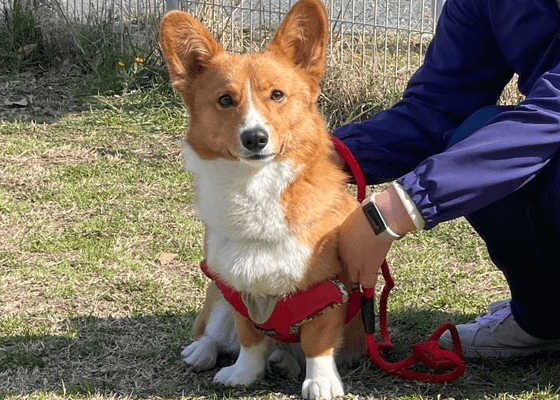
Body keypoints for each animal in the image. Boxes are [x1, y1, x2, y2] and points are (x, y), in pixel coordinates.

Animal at [159, 0, 368, 396]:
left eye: (277, 95)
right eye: (225, 100)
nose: (254, 138)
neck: (255, 188)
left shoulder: (328, 294)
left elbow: (317, 344)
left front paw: (320, 384)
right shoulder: (238, 291)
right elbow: (250, 339)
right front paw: (244, 373)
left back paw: (284, 360)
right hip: (215, 295)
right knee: (214, 332)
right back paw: (202, 351)